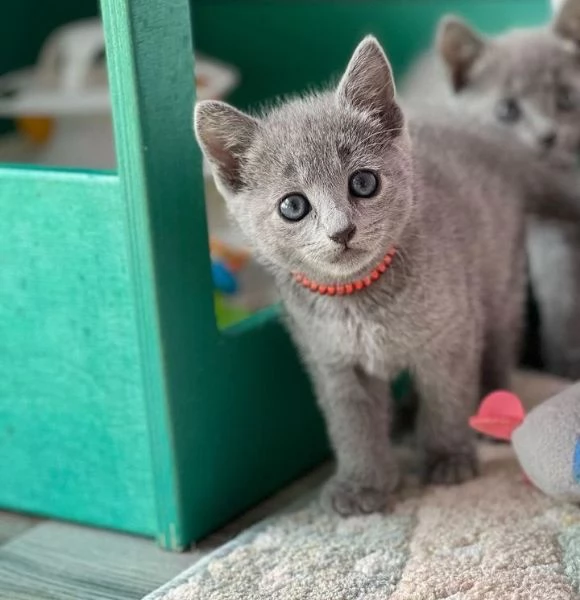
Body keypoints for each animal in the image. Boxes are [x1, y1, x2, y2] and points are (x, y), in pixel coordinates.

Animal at [195, 37, 560, 516]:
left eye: (363, 183)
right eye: (293, 206)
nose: (342, 230)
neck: (358, 298)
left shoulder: (450, 336)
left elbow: (446, 398)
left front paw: (447, 457)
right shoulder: (331, 361)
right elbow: (353, 426)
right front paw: (362, 483)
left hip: (501, 286)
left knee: (498, 347)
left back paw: (487, 410)